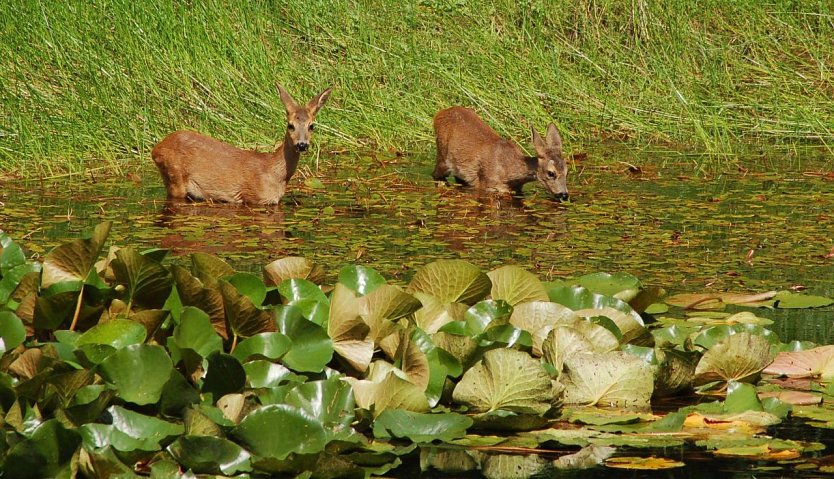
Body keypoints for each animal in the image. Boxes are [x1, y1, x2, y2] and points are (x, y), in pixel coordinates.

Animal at [151, 85, 334, 205]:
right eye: (291, 125)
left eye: (311, 126)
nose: (302, 145)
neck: (275, 173)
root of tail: (156, 148)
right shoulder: (253, 198)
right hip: (174, 176)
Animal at [432, 106, 568, 201]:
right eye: (551, 173)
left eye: (567, 171)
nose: (564, 195)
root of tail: (439, 114)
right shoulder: (486, 186)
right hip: (442, 157)